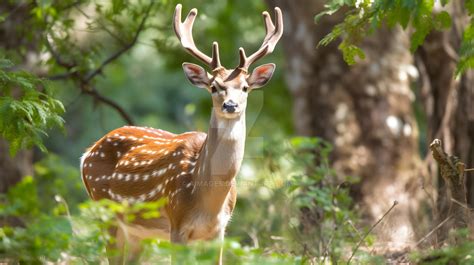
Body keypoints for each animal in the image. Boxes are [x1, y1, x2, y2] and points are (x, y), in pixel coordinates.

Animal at [79, 3, 284, 262]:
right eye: (214, 86)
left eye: (245, 87)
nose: (230, 105)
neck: (207, 199)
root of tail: (87, 154)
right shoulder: (176, 224)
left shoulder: (219, 231)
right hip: (106, 210)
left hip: (137, 231)